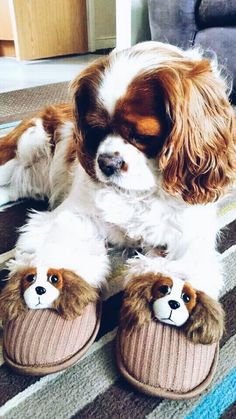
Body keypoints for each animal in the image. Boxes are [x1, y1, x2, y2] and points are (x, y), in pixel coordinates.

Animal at [0, 41, 234, 344]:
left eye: (143, 136)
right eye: (95, 130)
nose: (107, 163)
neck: (139, 192)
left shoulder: (189, 232)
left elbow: (184, 264)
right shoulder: (76, 215)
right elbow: (63, 243)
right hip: (27, 144)